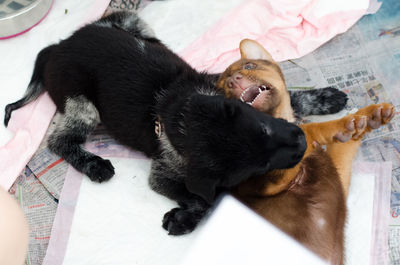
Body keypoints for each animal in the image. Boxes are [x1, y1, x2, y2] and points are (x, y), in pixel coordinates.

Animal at [217, 38, 396, 262]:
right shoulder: (266, 183)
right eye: (223, 91)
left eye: (249, 66)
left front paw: (369, 115)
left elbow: (343, 144)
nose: (233, 81)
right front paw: (342, 123)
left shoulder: (339, 178)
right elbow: (310, 130)